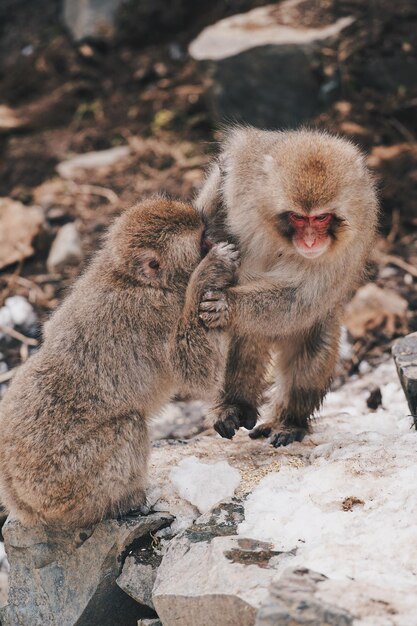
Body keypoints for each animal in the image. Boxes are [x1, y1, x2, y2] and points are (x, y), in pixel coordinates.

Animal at [0, 196, 239, 528]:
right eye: (203, 242)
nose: (215, 240)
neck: (135, 280)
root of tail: (23, 504)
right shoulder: (158, 311)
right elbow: (195, 370)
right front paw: (209, 272)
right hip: (67, 485)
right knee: (129, 425)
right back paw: (125, 502)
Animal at [195, 125, 376, 444]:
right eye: (297, 217)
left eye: (321, 217)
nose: (310, 242)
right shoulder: (245, 186)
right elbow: (216, 202)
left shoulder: (351, 244)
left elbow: (302, 298)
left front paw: (227, 305)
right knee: (244, 336)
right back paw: (234, 405)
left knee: (314, 348)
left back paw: (289, 421)